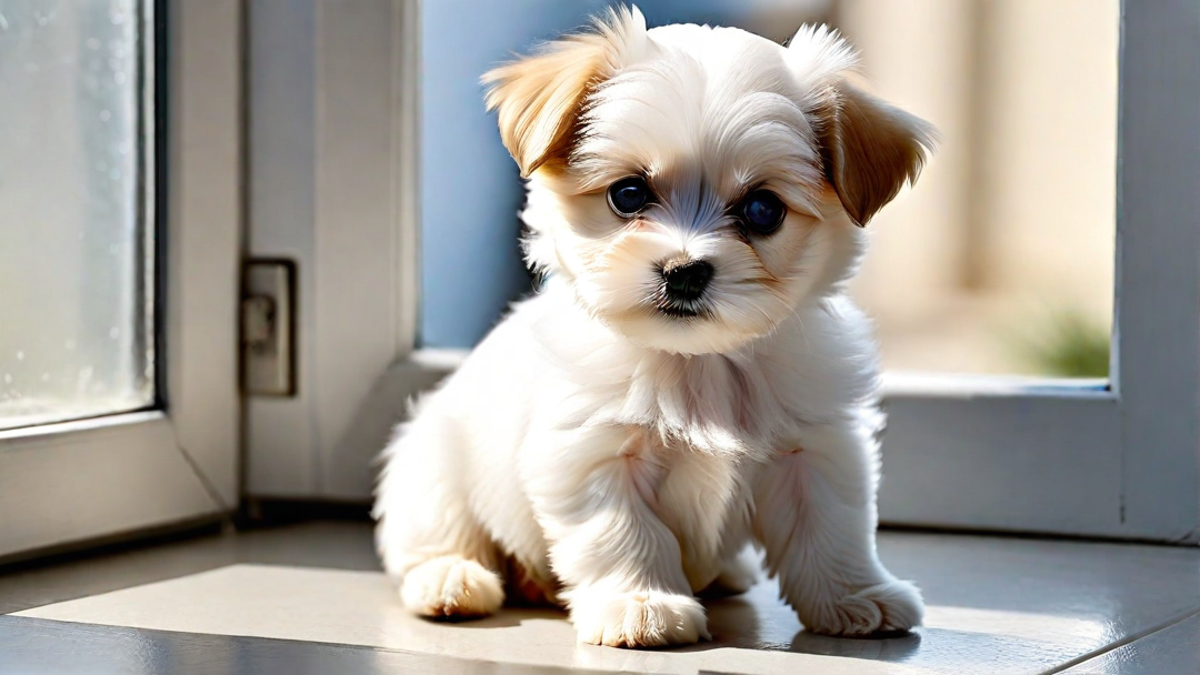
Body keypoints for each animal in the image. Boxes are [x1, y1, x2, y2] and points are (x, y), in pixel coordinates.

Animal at [374, 5, 936, 648]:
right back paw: (451, 581)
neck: (700, 363)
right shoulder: (593, 453)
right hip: (432, 464)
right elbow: (625, 534)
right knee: (434, 535)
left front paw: (855, 595)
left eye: (762, 209)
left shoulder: (814, 448)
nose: (684, 271)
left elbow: (831, 528)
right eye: (628, 194)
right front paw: (640, 604)